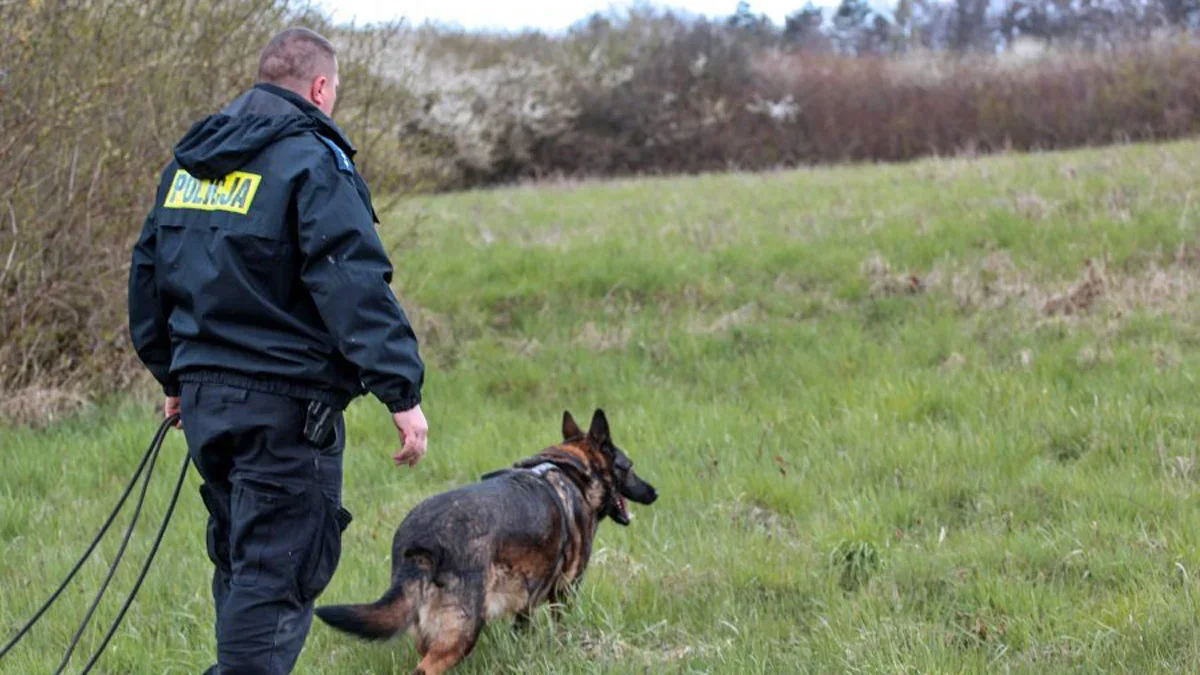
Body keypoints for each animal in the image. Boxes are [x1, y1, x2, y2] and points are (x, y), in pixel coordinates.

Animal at [314, 408, 662, 667]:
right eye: (628, 466)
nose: (654, 492)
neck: (571, 470)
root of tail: (422, 537)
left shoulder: (526, 600)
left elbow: (522, 631)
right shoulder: (564, 592)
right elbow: (561, 625)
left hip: (429, 627)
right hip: (463, 630)